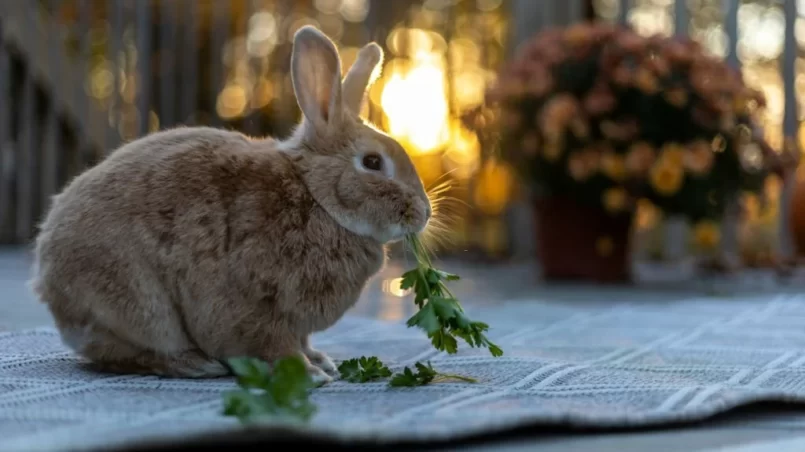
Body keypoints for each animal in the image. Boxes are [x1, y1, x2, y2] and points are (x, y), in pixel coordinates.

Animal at [29, 25, 434, 384]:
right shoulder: (257, 304)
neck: (317, 197)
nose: (424, 213)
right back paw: (195, 365)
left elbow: (301, 342)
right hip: (140, 308)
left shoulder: (296, 323)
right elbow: (271, 345)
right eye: (372, 162)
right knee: (131, 352)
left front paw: (321, 361)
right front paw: (310, 375)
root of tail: (48, 280)